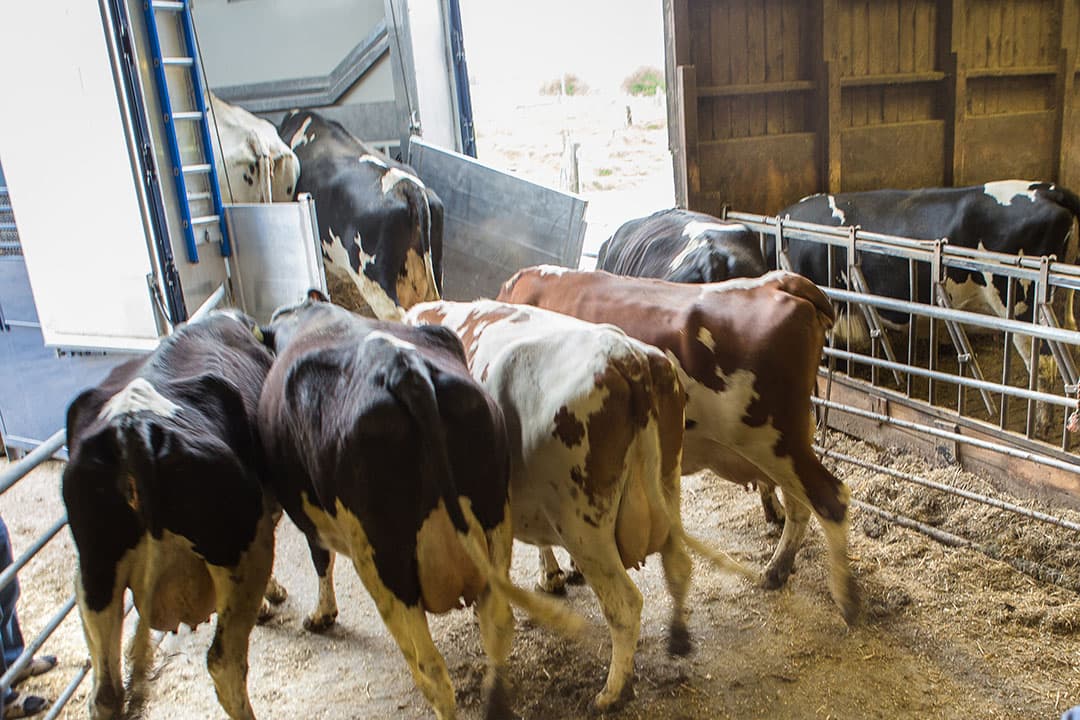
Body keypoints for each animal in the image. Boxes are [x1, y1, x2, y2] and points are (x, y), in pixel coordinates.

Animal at [62, 310, 276, 720]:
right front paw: (272, 598)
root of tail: (133, 429)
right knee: (224, 662)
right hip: (241, 546)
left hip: (94, 572)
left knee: (105, 692)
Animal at [257, 293, 582, 720]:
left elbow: (320, 558)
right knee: (497, 625)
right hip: (493, 519)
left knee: (430, 668)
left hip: (383, 564)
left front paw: (320, 614)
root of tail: (405, 371)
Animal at [406, 299, 755, 712]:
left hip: (582, 524)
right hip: (667, 486)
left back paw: (612, 692)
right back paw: (678, 639)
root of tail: (626, 355)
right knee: (679, 567)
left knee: (625, 604)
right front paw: (553, 575)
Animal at [498, 267, 861, 625]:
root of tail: (780, 281)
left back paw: (846, 598)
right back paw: (777, 571)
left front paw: (551, 575)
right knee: (800, 505)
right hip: (788, 443)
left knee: (829, 499)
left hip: (774, 441)